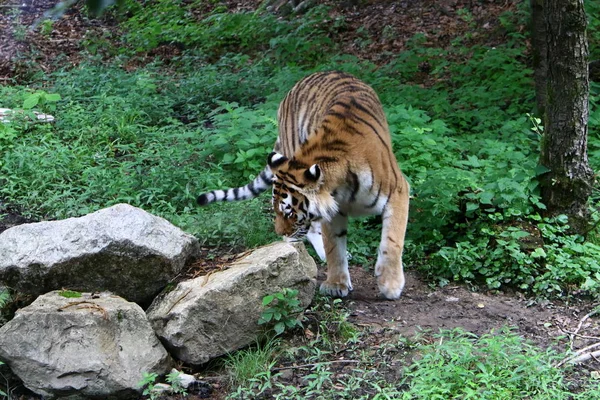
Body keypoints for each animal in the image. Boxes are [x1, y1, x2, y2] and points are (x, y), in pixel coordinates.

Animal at [199, 70, 410, 300]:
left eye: (290, 213)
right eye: (275, 210)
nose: (280, 234)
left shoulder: (398, 190)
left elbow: (392, 240)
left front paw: (390, 284)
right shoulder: (333, 210)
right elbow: (333, 246)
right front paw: (336, 284)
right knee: (313, 231)